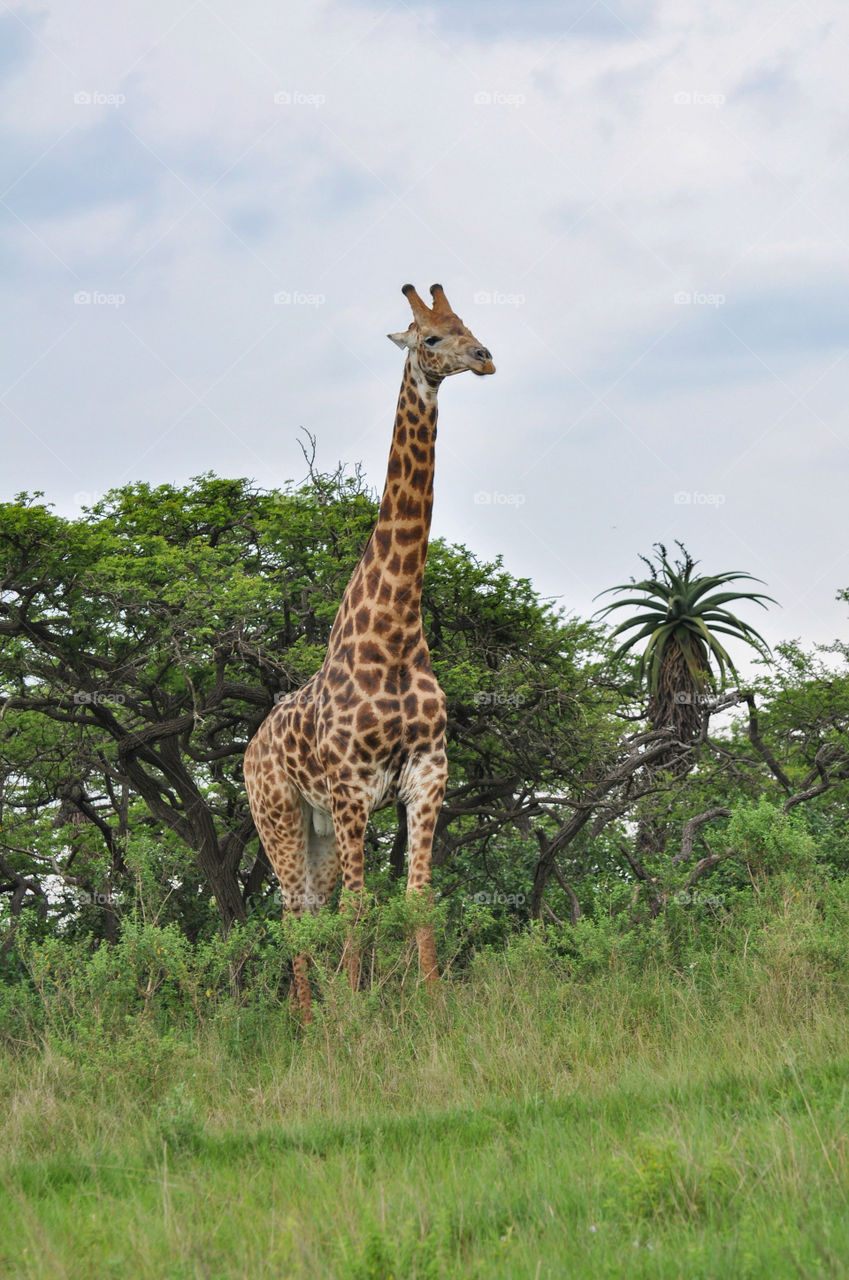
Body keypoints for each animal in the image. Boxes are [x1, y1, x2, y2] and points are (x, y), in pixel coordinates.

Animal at [244, 283, 495, 1019]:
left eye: (467, 322)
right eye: (430, 337)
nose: (484, 357)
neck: (395, 630)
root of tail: (248, 751)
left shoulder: (428, 773)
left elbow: (418, 897)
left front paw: (430, 1004)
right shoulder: (352, 784)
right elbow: (360, 907)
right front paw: (356, 1015)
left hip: (319, 827)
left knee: (311, 904)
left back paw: (318, 1007)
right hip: (279, 814)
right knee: (293, 911)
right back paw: (308, 1019)